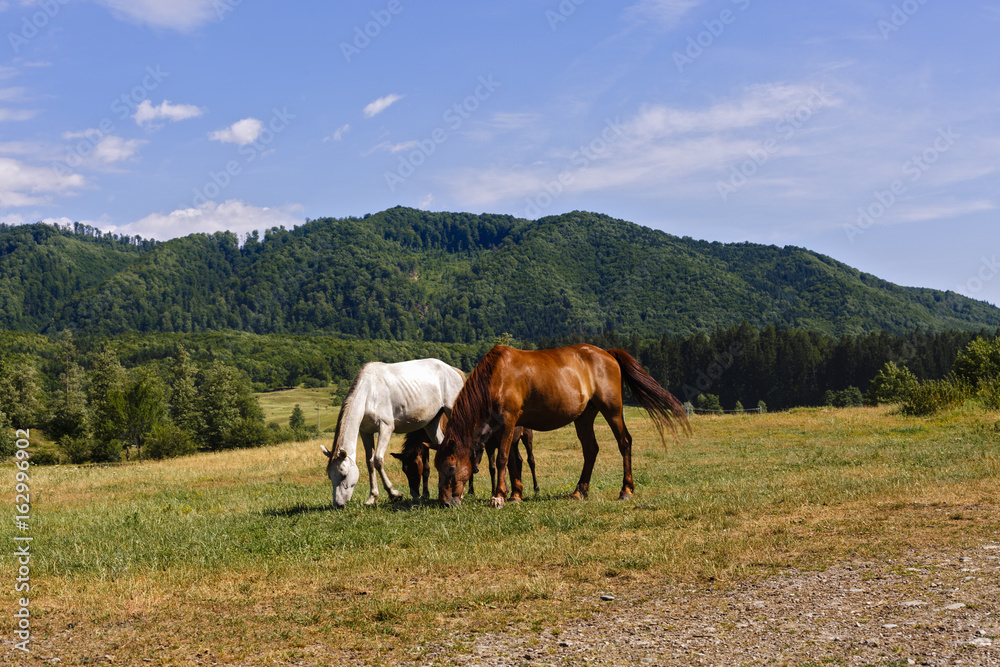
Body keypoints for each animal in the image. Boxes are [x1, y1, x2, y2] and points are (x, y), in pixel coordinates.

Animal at [320, 360, 464, 506]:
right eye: (330, 476)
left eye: (343, 475)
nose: (338, 504)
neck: (369, 392)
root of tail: (452, 370)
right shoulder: (366, 432)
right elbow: (370, 462)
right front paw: (372, 497)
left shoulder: (386, 427)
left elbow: (378, 460)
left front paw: (394, 494)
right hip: (431, 424)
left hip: (451, 411)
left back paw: (461, 494)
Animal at [390, 422, 540, 500]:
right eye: (404, 470)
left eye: (415, 469)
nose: (414, 492)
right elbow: (427, 468)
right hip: (514, 442)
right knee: (519, 460)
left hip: (527, 437)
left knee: (530, 459)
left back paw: (536, 487)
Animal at [434, 348, 692, 508]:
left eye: (450, 467)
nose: (445, 502)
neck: (497, 376)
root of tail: (608, 354)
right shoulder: (508, 426)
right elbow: (514, 461)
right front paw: (516, 495)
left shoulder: (508, 421)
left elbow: (503, 459)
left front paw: (498, 497)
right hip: (584, 417)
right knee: (591, 449)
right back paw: (580, 491)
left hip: (612, 409)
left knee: (624, 443)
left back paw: (626, 490)